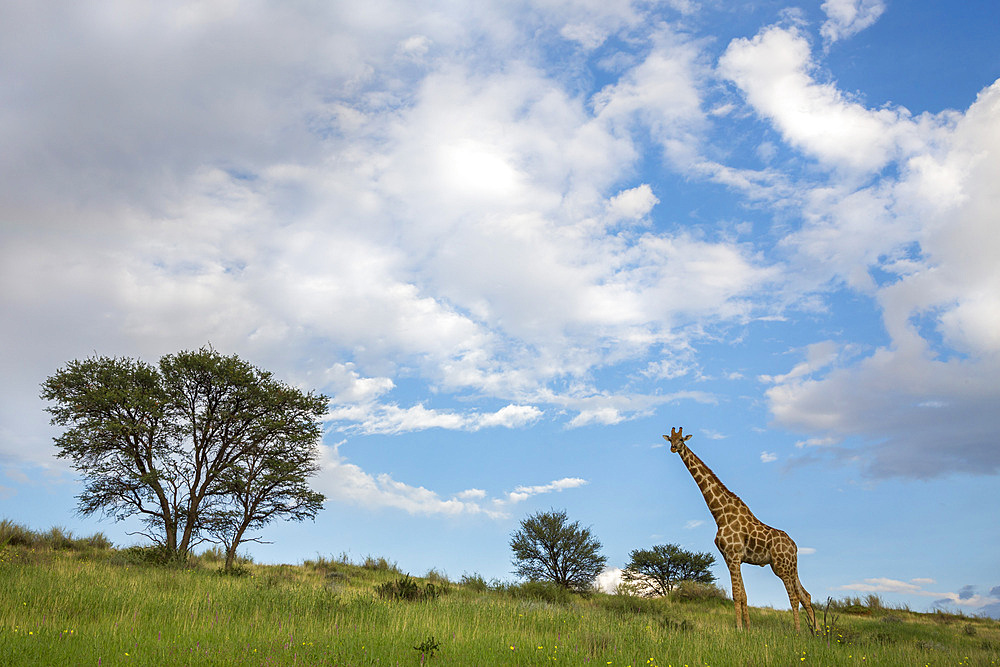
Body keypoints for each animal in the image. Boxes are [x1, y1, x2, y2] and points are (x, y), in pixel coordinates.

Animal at [660, 428, 816, 632]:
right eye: (670, 438)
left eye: (681, 440)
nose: (673, 447)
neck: (720, 514)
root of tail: (795, 546)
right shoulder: (730, 558)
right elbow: (744, 595)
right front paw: (748, 629)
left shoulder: (734, 555)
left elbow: (736, 594)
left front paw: (740, 628)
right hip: (789, 566)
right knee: (806, 595)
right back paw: (817, 632)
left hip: (782, 567)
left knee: (795, 597)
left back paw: (798, 632)